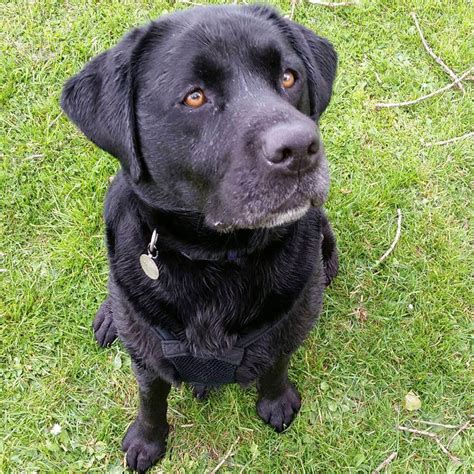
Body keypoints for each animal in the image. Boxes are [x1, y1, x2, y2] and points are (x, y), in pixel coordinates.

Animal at [61, 3, 338, 470]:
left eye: (288, 77)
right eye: (194, 96)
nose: (299, 148)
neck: (216, 258)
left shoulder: (292, 320)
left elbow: (276, 364)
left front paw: (277, 402)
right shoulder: (148, 355)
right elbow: (150, 398)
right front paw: (147, 441)